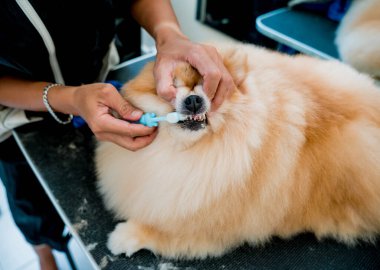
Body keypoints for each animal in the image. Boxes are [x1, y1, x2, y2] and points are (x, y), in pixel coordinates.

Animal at [94, 42, 380, 260]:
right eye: (171, 88)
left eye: (211, 89)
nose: (194, 99)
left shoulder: (209, 225)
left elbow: (164, 231)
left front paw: (126, 236)